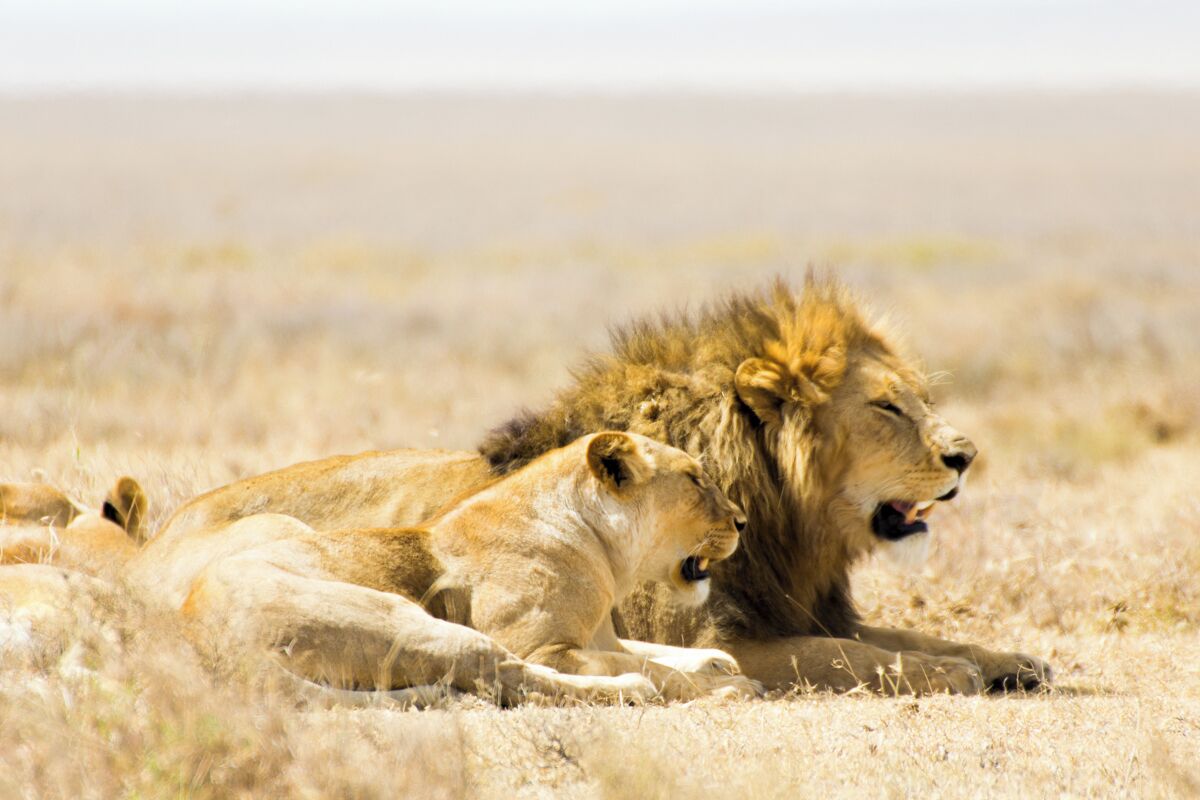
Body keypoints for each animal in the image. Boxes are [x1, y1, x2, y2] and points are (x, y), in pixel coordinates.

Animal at [129, 431, 759, 704]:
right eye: (696, 479)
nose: (742, 520)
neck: (602, 547)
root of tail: (198, 638)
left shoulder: (600, 636)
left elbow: (659, 650)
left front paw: (718, 663)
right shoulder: (548, 647)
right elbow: (648, 666)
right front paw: (726, 684)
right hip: (402, 618)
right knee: (502, 673)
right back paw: (642, 691)